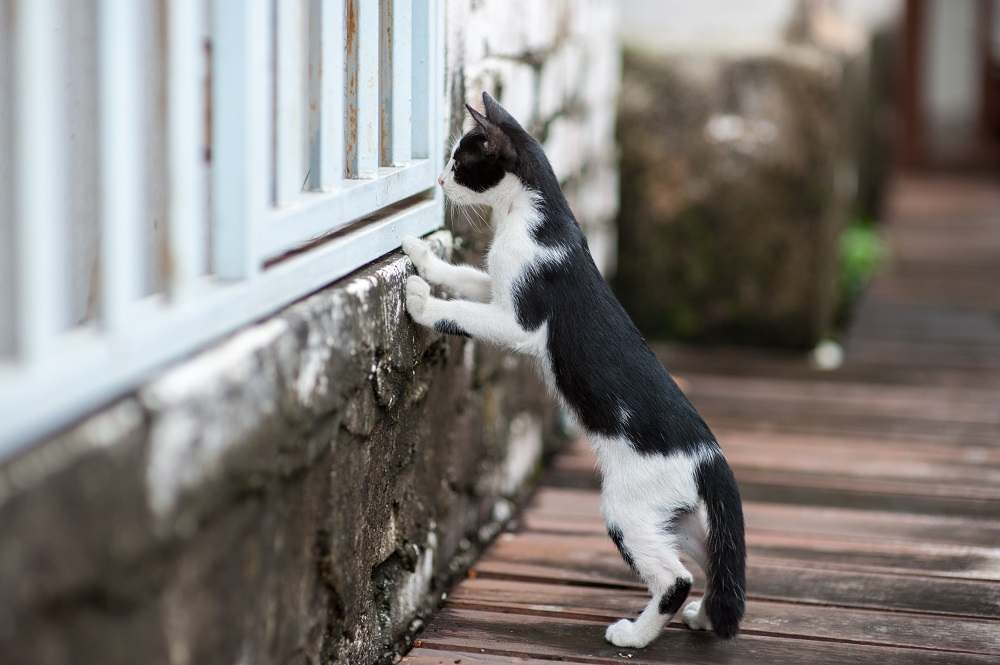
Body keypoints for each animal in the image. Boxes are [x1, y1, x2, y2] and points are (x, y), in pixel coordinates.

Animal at [402, 91, 748, 644]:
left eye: (461, 162)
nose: (439, 180)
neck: (535, 215)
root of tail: (710, 457)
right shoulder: (497, 285)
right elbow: (466, 277)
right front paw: (422, 255)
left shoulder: (519, 320)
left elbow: (466, 312)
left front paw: (421, 302)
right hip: (682, 519)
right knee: (710, 563)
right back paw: (701, 617)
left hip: (630, 505)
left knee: (675, 577)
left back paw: (636, 634)